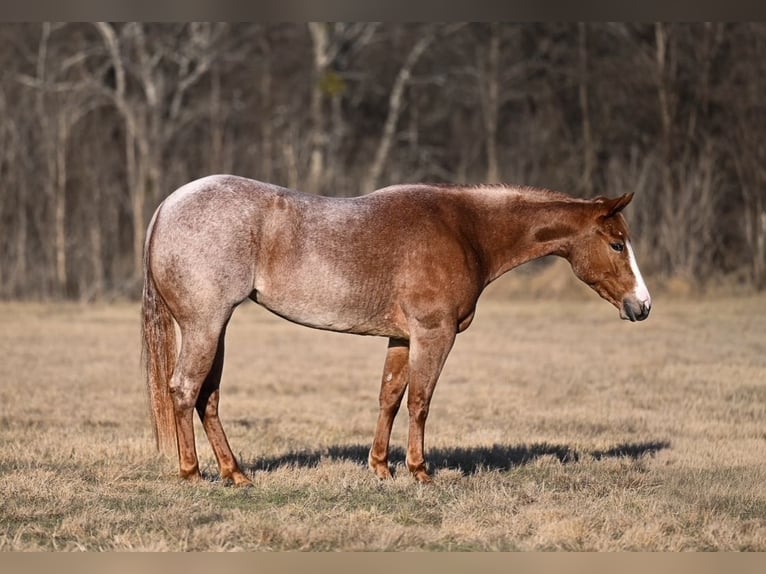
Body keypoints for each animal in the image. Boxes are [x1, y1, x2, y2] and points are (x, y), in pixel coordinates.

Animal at [141, 175, 651, 486]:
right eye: (617, 244)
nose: (642, 306)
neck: (466, 230)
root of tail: (168, 204)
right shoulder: (433, 334)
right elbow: (420, 402)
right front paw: (420, 470)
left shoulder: (403, 338)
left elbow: (389, 397)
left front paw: (381, 468)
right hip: (206, 325)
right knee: (184, 390)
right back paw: (193, 474)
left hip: (217, 329)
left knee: (207, 398)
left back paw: (236, 474)